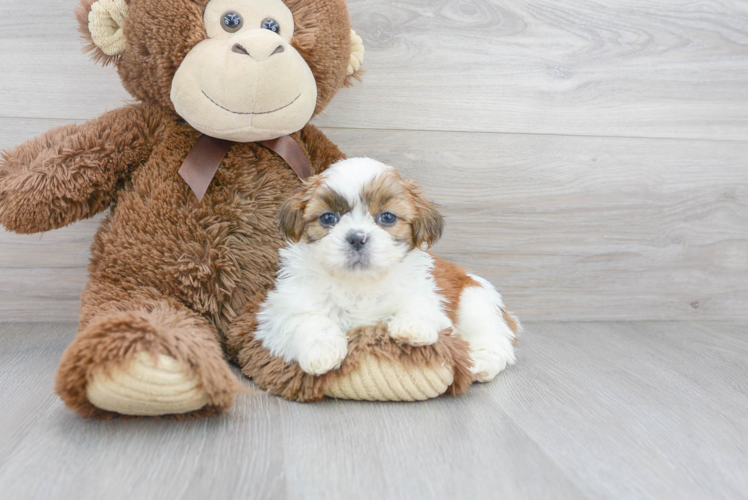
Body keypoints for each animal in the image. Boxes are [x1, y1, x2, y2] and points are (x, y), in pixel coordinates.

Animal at [254, 158, 516, 380]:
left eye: (387, 217)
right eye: (328, 218)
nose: (357, 238)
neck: (359, 283)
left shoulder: (427, 292)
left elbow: (422, 304)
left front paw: (413, 327)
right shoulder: (283, 310)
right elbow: (307, 320)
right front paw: (322, 351)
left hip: (475, 300)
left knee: (492, 337)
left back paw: (480, 363)